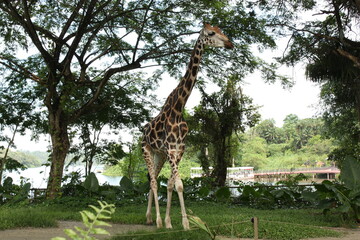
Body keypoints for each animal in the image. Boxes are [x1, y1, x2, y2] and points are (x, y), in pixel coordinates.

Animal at [141, 23, 233, 231]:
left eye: (220, 29)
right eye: (211, 33)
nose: (230, 44)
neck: (179, 107)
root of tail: (142, 134)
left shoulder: (178, 150)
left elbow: (172, 185)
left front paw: (170, 222)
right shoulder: (171, 149)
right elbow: (179, 185)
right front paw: (183, 223)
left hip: (159, 154)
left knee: (153, 180)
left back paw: (149, 218)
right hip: (146, 151)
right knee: (153, 182)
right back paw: (156, 220)